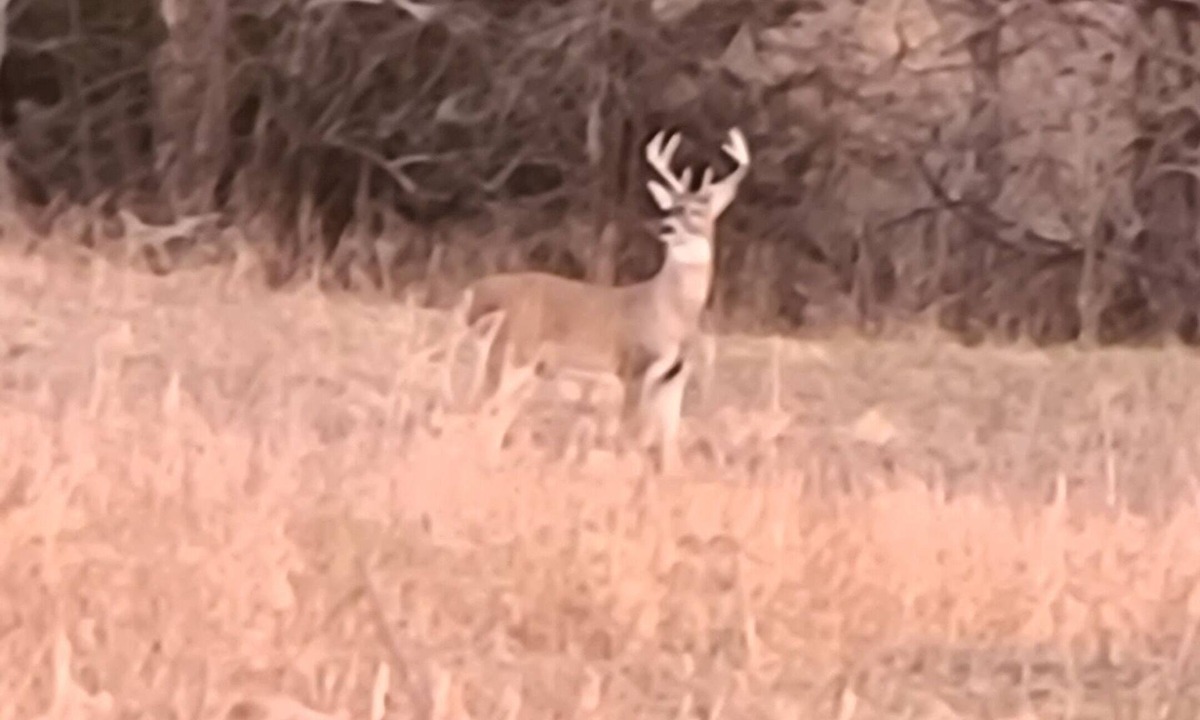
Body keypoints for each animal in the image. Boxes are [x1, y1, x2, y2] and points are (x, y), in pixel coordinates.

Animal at [453, 127, 750, 474]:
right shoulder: (633, 366)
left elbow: (670, 443)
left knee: (495, 416)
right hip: (509, 353)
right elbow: (628, 434)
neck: (669, 312)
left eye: (698, 210)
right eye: (670, 208)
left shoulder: (675, 376)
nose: (666, 227)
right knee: (480, 409)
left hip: (522, 366)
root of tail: (472, 292)